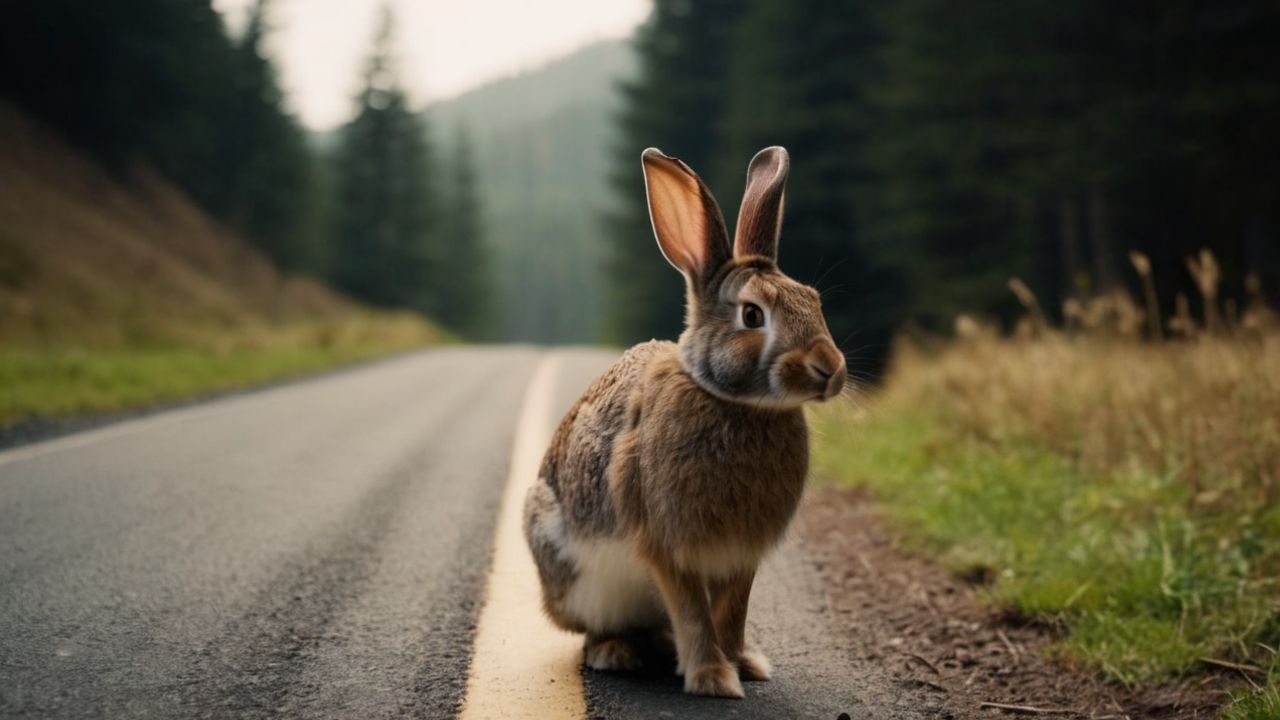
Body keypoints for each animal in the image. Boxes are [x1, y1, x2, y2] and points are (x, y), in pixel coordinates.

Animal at [524, 146, 844, 696]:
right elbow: (693, 610)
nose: (830, 368)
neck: (734, 401)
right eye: (753, 316)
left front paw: (744, 664)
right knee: (597, 629)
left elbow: (731, 611)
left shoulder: (742, 556)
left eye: (814, 301)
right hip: (576, 575)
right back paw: (615, 653)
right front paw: (714, 678)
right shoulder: (667, 546)